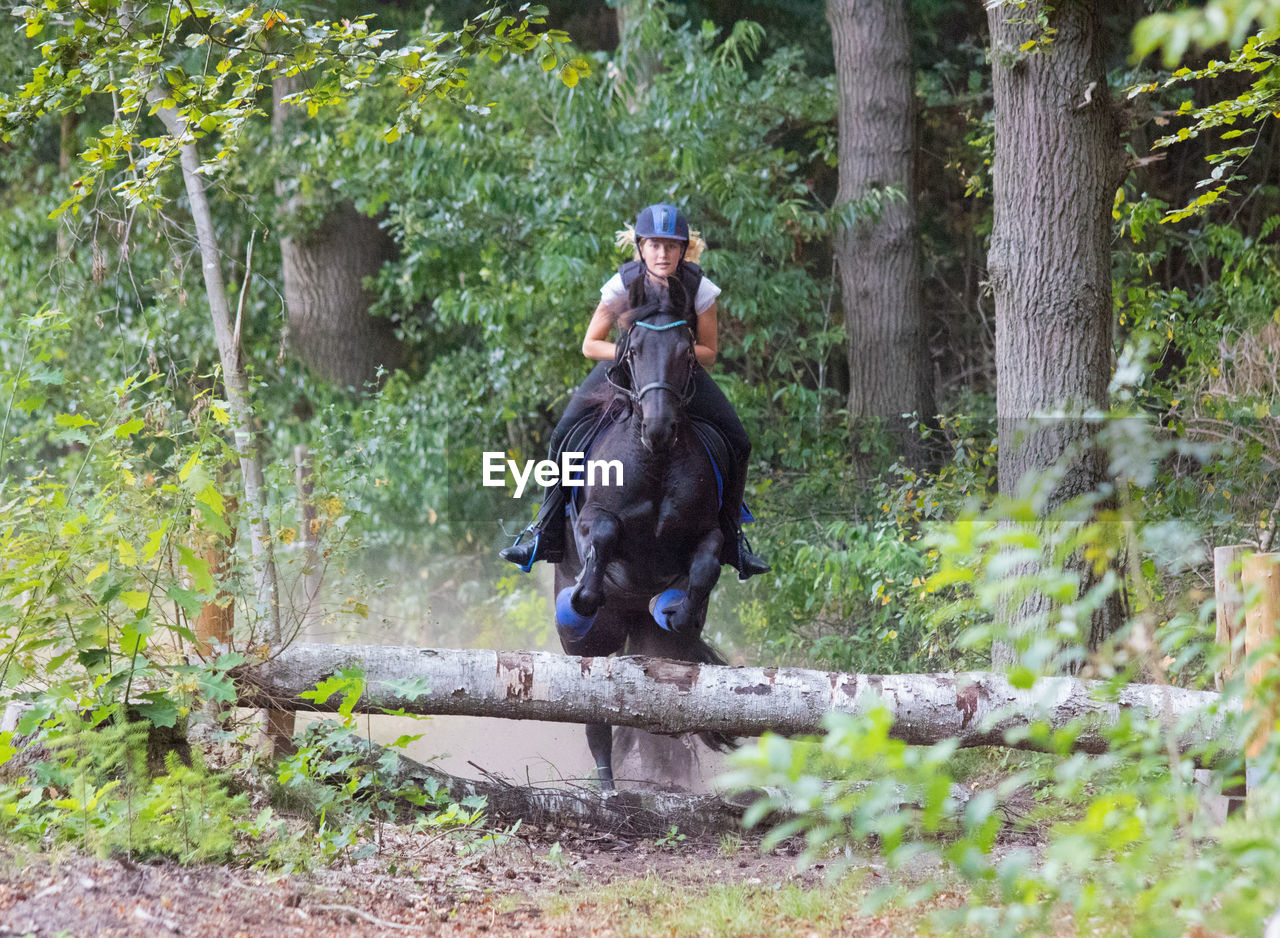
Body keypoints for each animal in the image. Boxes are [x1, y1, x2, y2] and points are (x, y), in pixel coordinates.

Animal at [547, 296, 732, 788]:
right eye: (633, 352)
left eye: (687, 354)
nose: (659, 427)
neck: (657, 461)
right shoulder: (591, 519)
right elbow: (605, 533)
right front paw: (584, 597)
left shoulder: (707, 531)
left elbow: (705, 565)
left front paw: (675, 609)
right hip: (588, 652)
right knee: (596, 722)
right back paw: (607, 788)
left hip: (649, 649)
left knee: (650, 722)